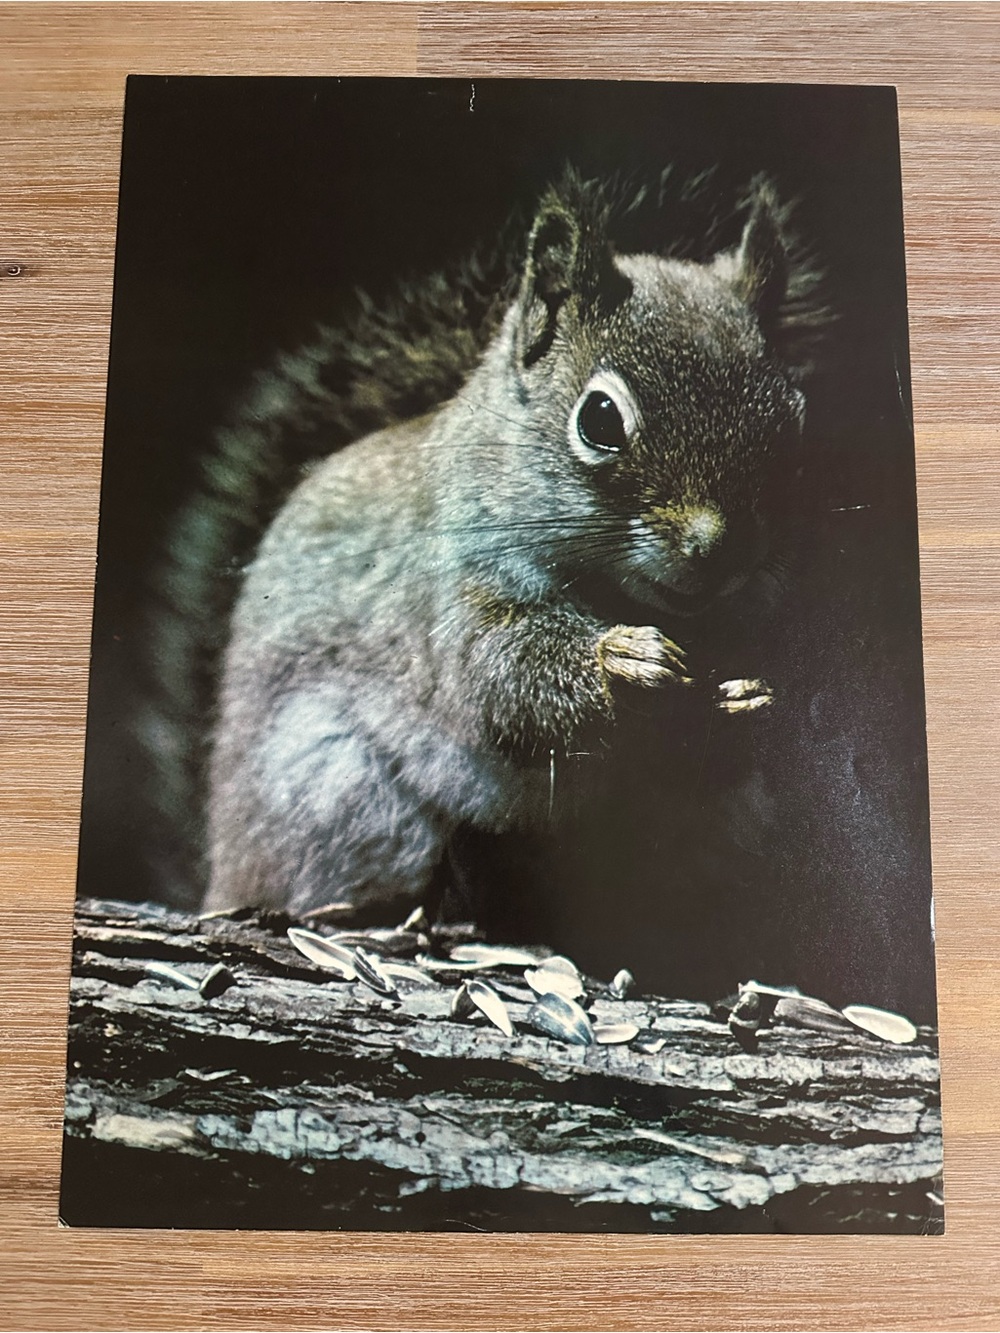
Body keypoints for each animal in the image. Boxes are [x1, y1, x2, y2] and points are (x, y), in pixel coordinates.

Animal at [148, 169, 826, 960]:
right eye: (600, 419)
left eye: (795, 424)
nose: (718, 551)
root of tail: (222, 871)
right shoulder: (448, 596)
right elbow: (500, 677)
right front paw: (623, 663)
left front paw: (743, 698)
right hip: (343, 795)